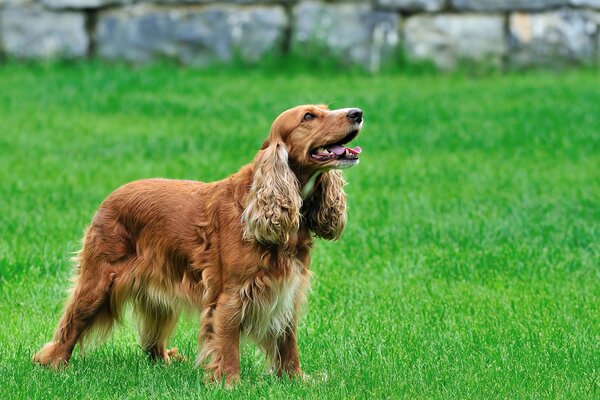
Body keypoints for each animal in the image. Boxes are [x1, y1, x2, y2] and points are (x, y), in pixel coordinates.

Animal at [32, 104, 364, 382]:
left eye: (326, 108)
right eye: (309, 117)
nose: (357, 112)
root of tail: (110, 196)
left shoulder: (287, 289)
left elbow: (288, 340)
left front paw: (295, 380)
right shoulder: (232, 294)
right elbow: (227, 342)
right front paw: (230, 383)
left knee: (152, 339)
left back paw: (165, 360)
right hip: (99, 280)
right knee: (71, 323)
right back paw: (54, 363)